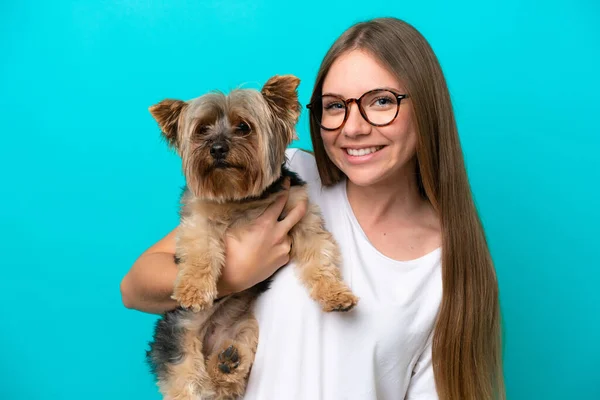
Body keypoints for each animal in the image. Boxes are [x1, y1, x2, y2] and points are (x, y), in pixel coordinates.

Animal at [146, 76, 356, 400]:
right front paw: (193, 290)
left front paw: (335, 293)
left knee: (229, 373)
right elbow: (201, 251)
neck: (240, 197)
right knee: (186, 379)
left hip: (245, 327)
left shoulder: (301, 216)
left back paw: (227, 363)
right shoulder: (198, 220)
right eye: (202, 130)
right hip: (177, 339)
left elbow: (319, 255)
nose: (217, 148)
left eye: (243, 127)